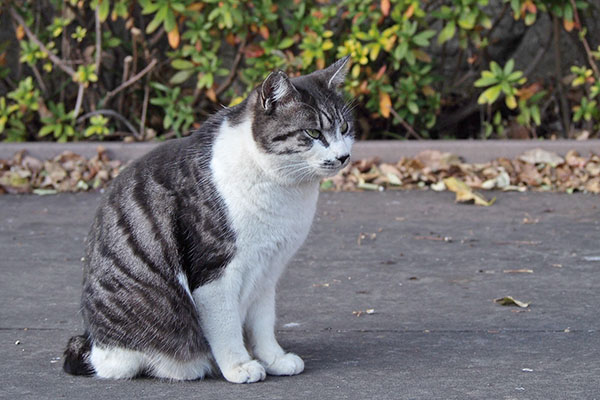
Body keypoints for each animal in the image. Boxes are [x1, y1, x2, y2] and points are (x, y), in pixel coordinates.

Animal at [63, 57, 354, 384]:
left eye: (345, 127)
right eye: (313, 133)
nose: (343, 156)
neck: (283, 189)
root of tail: (92, 344)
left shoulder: (267, 271)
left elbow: (263, 324)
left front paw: (274, 359)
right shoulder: (215, 271)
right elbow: (226, 327)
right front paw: (239, 366)